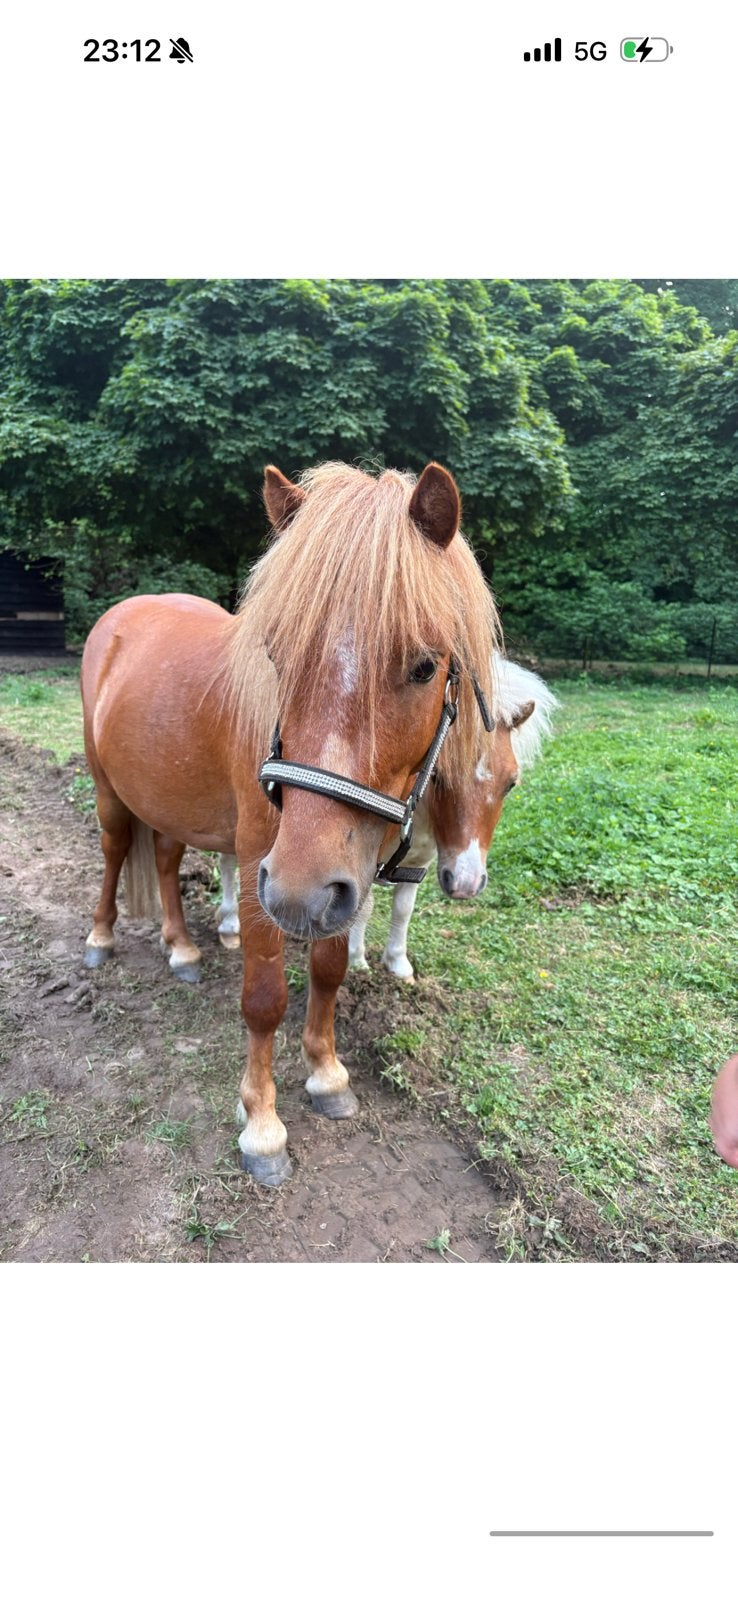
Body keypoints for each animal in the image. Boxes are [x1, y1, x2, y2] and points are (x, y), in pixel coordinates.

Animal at [80, 461, 500, 1185]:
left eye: (425, 665)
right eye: (277, 655)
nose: (300, 894)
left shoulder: (343, 876)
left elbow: (329, 970)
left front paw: (327, 1072)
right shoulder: (263, 869)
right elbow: (265, 996)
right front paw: (262, 1123)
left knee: (163, 861)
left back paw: (181, 947)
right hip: (110, 792)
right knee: (113, 854)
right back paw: (102, 938)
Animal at [347, 655, 557, 980]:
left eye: (511, 783)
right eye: (438, 775)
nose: (465, 884)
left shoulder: (418, 863)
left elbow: (403, 909)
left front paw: (397, 963)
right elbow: (363, 907)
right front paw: (356, 961)